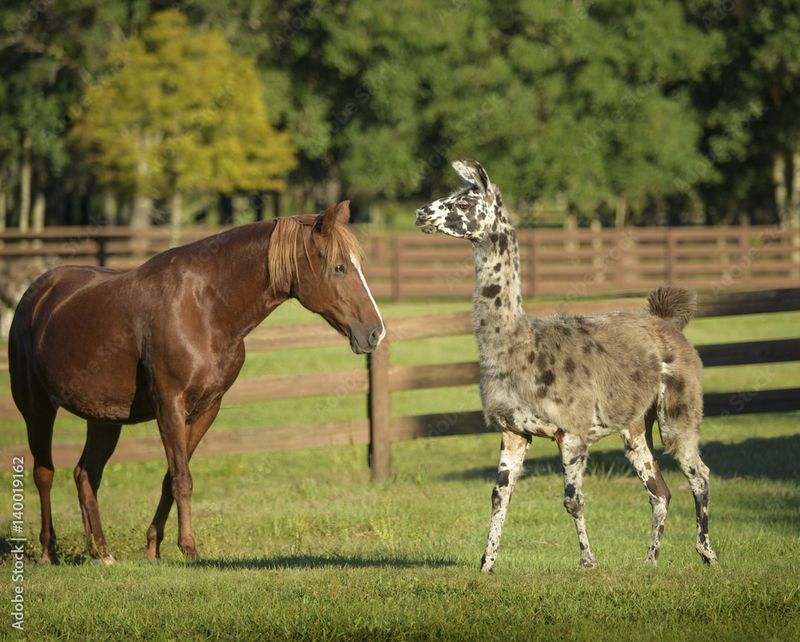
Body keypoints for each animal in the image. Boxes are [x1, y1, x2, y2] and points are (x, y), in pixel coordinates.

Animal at [8, 200, 384, 560]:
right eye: (339, 267)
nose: (375, 332)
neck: (205, 308)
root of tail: (37, 294)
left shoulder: (205, 410)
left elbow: (171, 477)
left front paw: (153, 546)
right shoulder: (170, 407)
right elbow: (182, 479)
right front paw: (188, 547)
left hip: (103, 418)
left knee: (86, 474)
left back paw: (100, 551)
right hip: (37, 410)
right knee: (44, 473)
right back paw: (48, 551)